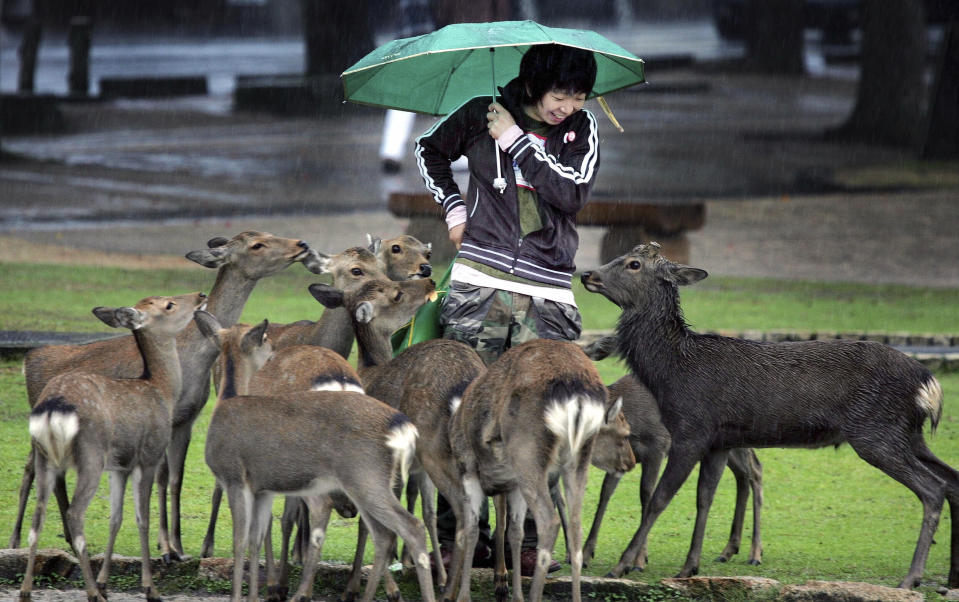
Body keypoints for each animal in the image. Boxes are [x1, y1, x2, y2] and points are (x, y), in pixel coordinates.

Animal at [9, 229, 320, 556]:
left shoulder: (188, 419)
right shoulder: (163, 420)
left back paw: (64, 537)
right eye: (257, 244)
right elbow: (160, 475)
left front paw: (178, 544)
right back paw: (17, 540)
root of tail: (29, 359)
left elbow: (176, 479)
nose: (301, 244)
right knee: (32, 470)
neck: (191, 358)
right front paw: (166, 545)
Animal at [18, 290, 208, 600]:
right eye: (169, 304)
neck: (162, 390)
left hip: (45, 456)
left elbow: (115, 519)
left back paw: (26, 591)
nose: (200, 295)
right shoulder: (148, 457)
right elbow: (142, 519)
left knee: (38, 517)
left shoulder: (118, 467)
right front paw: (149, 587)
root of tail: (52, 407)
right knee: (74, 514)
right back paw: (91, 592)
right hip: (90, 456)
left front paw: (106, 583)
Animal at [206, 276, 438, 600]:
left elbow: (275, 522)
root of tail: (338, 381)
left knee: (316, 514)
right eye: (397, 292)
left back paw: (297, 586)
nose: (429, 279)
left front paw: (278, 580)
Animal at [580, 241, 956, 588]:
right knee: (952, 481)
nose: (588, 274)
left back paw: (912, 578)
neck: (672, 371)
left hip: (876, 433)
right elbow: (704, 498)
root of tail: (929, 383)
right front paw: (689, 568)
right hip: (909, 434)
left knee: (933, 488)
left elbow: (658, 498)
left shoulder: (690, 431)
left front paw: (622, 565)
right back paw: (950, 578)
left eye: (633, 263)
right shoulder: (718, 441)